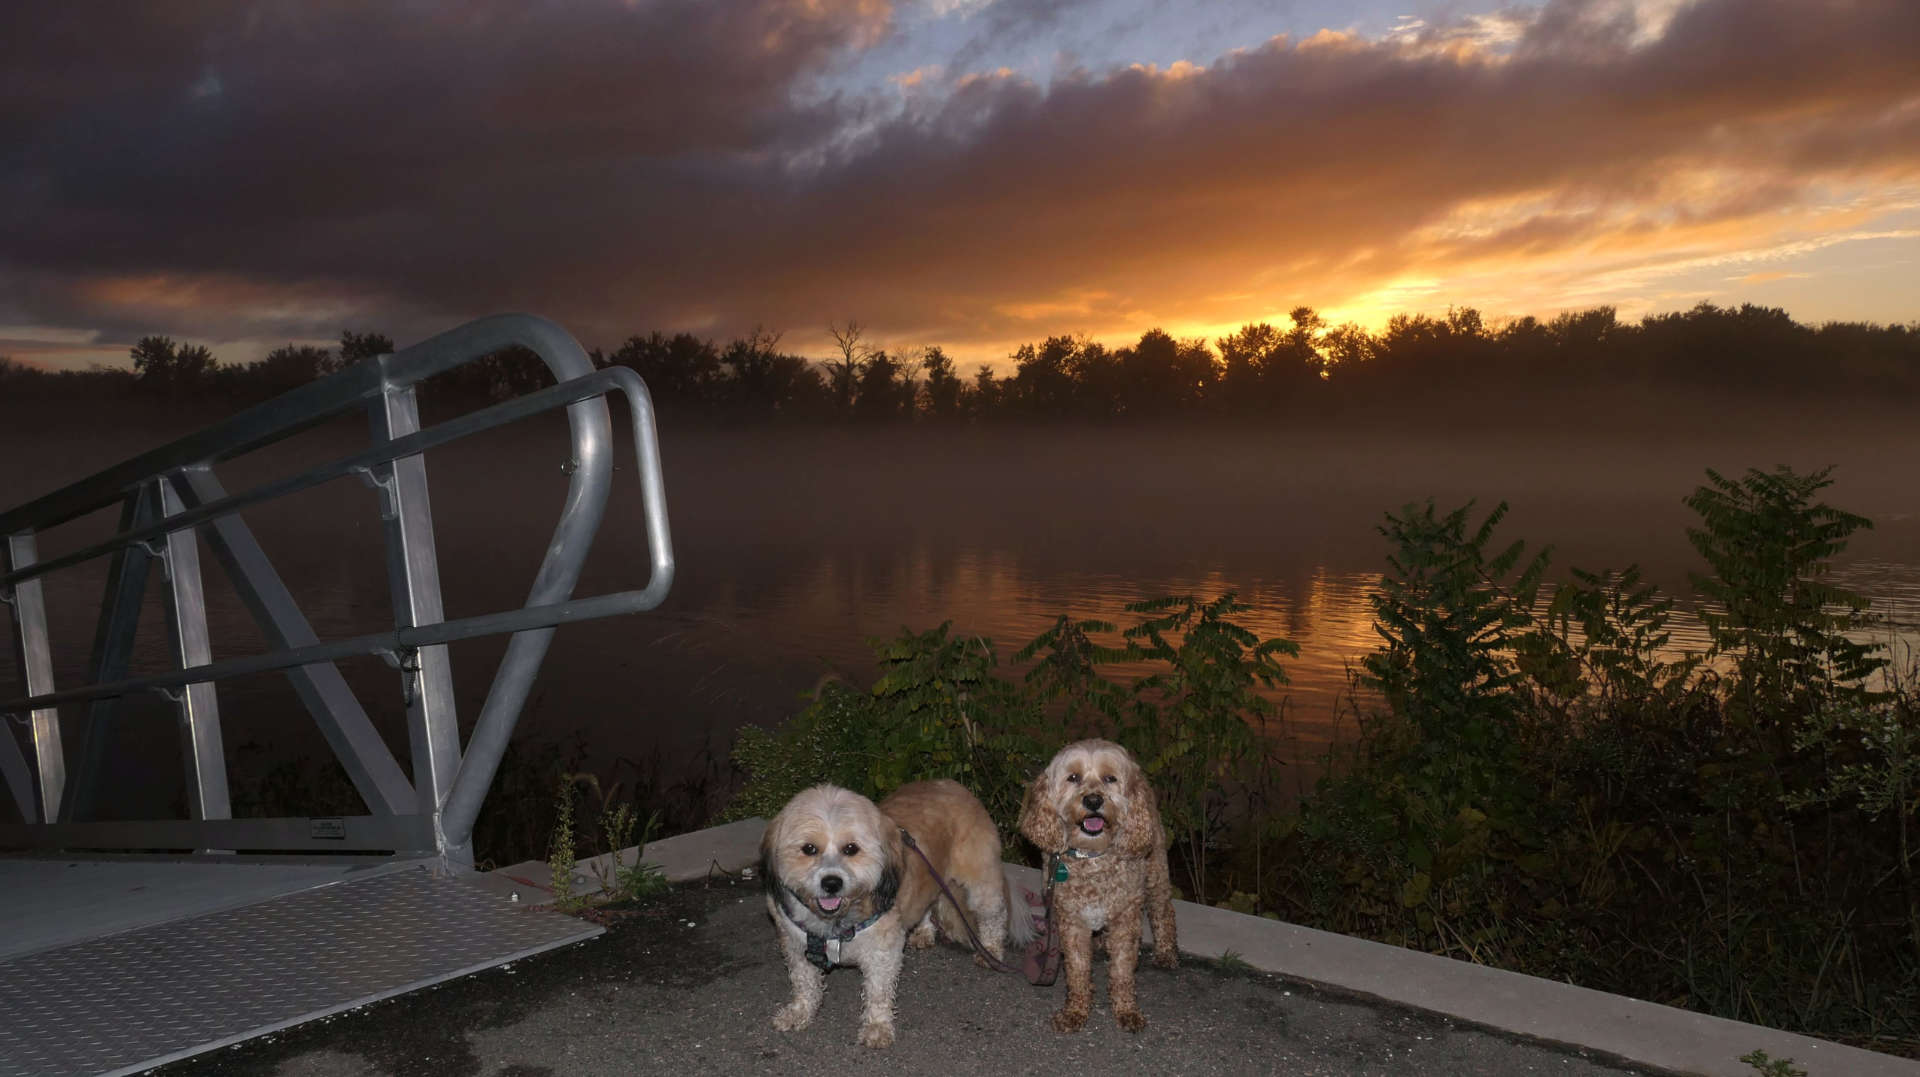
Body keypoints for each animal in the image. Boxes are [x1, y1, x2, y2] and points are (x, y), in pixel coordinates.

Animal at [1021, 733, 1167, 1029]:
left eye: (1110, 778)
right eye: (1073, 777)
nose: (1092, 800)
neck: (1092, 857)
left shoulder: (1125, 919)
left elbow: (1122, 970)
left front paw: (1126, 1010)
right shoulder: (1071, 921)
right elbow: (1077, 968)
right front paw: (1076, 1010)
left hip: (1156, 873)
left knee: (1163, 911)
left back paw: (1166, 953)